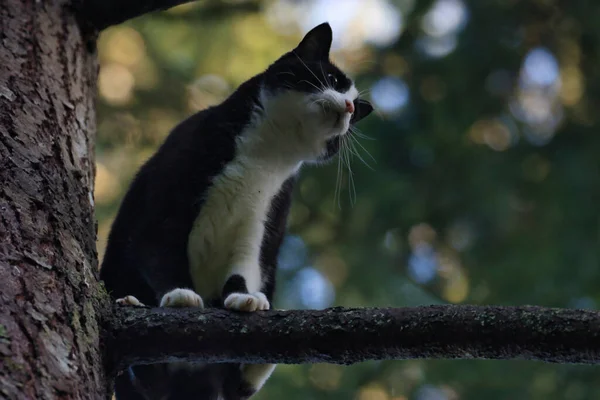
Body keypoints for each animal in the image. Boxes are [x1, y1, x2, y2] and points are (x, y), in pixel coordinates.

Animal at [102, 22, 376, 400]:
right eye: (333, 80)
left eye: (355, 110)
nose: (349, 106)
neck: (265, 156)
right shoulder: (169, 190)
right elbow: (158, 247)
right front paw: (180, 294)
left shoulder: (265, 213)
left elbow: (244, 264)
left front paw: (244, 298)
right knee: (146, 379)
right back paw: (130, 303)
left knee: (235, 386)